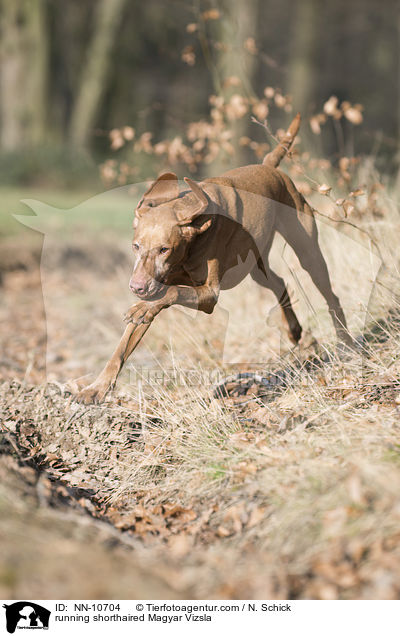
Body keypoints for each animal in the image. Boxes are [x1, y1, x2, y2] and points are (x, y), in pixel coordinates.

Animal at [75, 113, 350, 402]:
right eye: (135, 246)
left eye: (164, 249)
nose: (136, 287)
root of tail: (269, 167)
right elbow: (122, 346)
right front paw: (97, 387)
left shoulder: (208, 295)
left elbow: (172, 292)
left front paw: (142, 307)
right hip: (254, 266)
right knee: (279, 282)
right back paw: (295, 329)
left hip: (308, 251)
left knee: (330, 295)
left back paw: (346, 343)